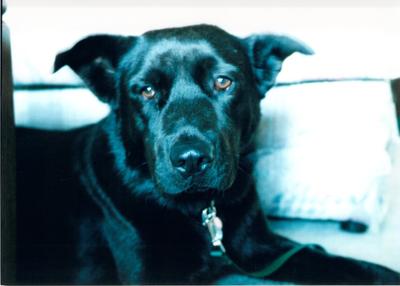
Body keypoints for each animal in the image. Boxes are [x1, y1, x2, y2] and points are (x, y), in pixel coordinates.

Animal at [15, 24, 400, 284]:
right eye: (147, 90)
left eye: (223, 82)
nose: (191, 160)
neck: (201, 211)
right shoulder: (149, 272)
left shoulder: (262, 249)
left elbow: (340, 261)